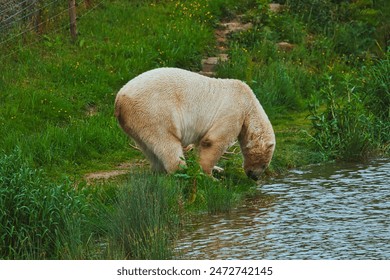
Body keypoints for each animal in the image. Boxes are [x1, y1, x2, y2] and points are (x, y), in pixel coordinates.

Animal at [114, 68, 276, 180]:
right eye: (264, 164)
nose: (254, 177)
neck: (249, 104)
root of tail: (119, 99)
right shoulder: (233, 111)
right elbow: (214, 141)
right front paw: (210, 176)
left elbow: (202, 143)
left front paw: (217, 169)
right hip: (154, 111)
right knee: (166, 142)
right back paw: (181, 170)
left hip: (135, 122)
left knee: (148, 147)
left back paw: (159, 170)